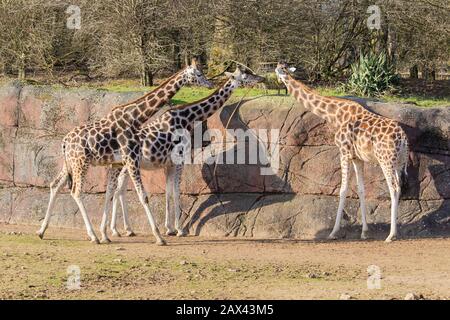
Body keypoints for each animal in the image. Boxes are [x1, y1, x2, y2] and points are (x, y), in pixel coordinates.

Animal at [37, 58, 213, 244]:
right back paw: (93, 236)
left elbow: (110, 193)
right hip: (81, 163)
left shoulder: (118, 162)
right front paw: (159, 236)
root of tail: (64, 141)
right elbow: (141, 195)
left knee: (55, 184)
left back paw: (42, 231)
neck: (134, 117)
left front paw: (108, 233)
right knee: (76, 191)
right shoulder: (130, 158)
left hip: (70, 164)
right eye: (198, 73)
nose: (210, 84)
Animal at [99, 65, 264, 240]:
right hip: (127, 165)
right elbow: (176, 191)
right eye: (246, 75)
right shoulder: (180, 160)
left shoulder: (168, 164)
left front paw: (169, 228)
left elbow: (168, 192)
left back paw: (122, 229)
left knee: (118, 189)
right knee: (118, 190)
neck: (187, 118)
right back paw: (117, 230)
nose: (262, 78)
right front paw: (179, 229)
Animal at [274, 62, 408, 242]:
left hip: (386, 160)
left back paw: (391, 235)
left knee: (393, 188)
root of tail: (403, 138)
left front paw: (333, 232)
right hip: (399, 162)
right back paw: (397, 232)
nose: (278, 79)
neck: (335, 115)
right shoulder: (357, 157)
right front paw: (364, 232)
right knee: (399, 187)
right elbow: (361, 190)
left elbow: (343, 189)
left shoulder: (344, 152)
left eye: (279, 70)